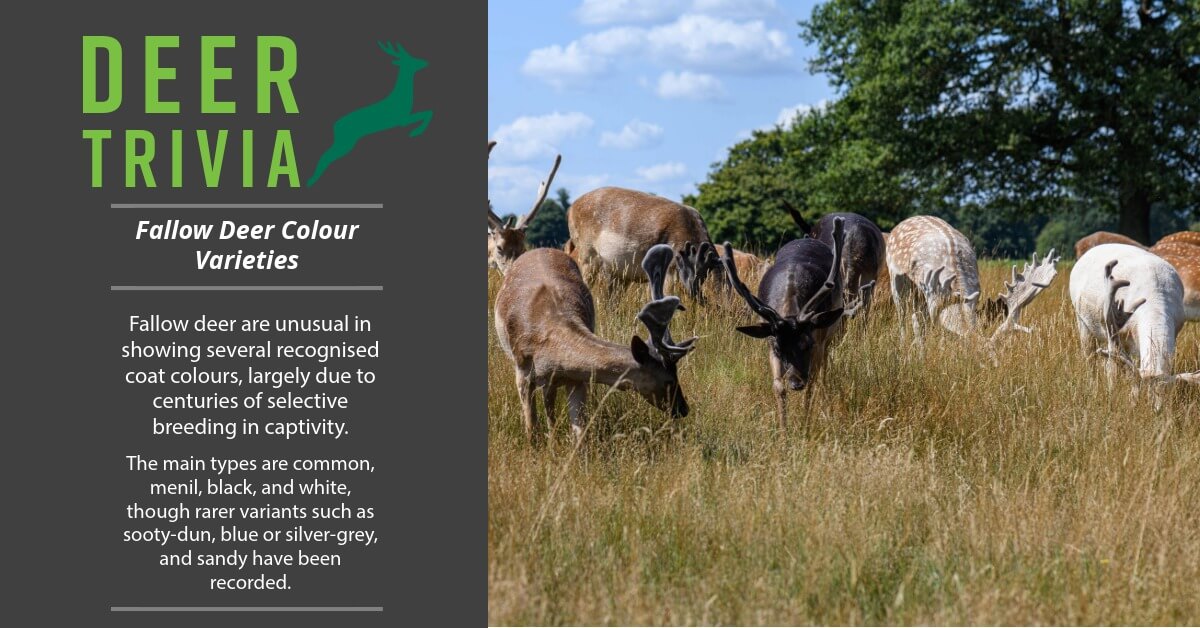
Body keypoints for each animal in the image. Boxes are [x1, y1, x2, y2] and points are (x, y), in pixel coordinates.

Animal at [307, 41, 433, 186]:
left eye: (412, 56)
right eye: (410, 60)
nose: (425, 62)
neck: (401, 99)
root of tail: (334, 127)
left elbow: (428, 112)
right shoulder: (401, 120)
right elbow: (427, 113)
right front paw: (415, 132)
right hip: (345, 141)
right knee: (326, 156)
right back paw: (311, 181)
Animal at [493, 245, 697, 444]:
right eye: (669, 380)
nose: (684, 409)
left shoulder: (576, 379)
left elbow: (580, 434)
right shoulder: (522, 371)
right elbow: (531, 429)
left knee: (549, 404)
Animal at [720, 217, 871, 428]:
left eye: (807, 344)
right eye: (779, 348)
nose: (796, 383)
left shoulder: (817, 341)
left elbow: (812, 384)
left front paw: (805, 426)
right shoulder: (770, 341)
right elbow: (778, 386)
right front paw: (784, 430)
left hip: (829, 334)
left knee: (824, 368)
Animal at [1069, 243, 1198, 408]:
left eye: (1167, 392)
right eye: (1149, 391)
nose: (1157, 409)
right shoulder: (1114, 332)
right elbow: (1114, 372)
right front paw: (1114, 396)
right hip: (1082, 320)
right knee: (1089, 358)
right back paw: (1091, 387)